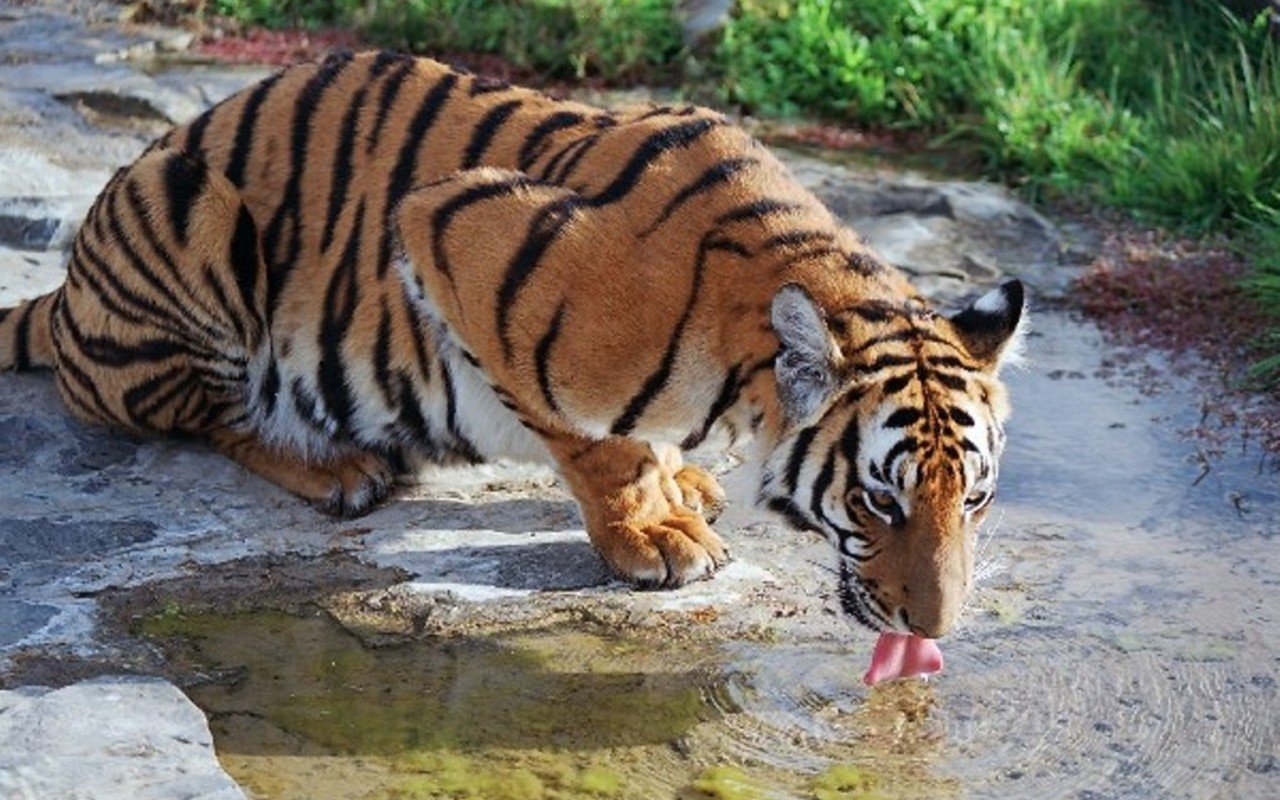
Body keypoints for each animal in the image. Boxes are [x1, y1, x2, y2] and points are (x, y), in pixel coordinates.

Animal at [0, 51, 1023, 644]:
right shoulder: (451, 231)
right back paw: (335, 466)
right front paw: (651, 532)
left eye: (972, 500)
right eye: (878, 500)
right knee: (206, 415)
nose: (934, 631)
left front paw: (681, 481)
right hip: (189, 203)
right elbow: (598, 446)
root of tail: (65, 293)